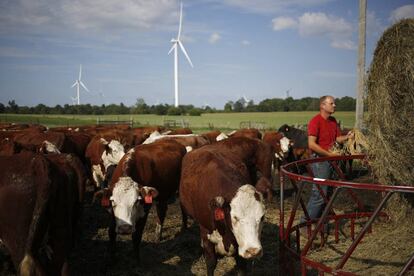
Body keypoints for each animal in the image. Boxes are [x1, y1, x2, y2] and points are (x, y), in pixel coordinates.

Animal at [180, 146, 266, 274]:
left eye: (262, 217)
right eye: (235, 217)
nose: (253, 251)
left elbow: (241, 266)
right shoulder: (205, 233)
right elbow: (211, 263)